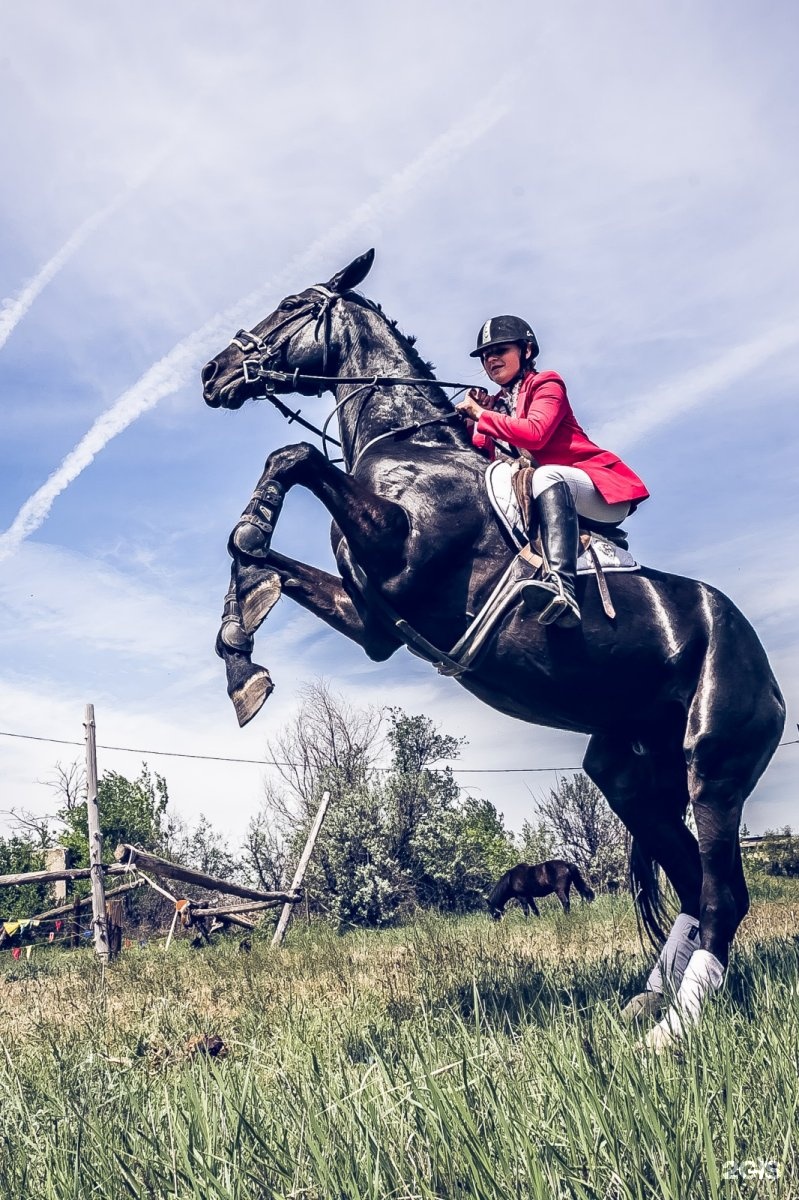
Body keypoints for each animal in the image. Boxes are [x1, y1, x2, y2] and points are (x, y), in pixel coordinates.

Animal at [200, 250, 782, 1051]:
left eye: (291, 305)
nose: (213, 373)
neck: (405, 445)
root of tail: (764, 667)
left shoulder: (401, 555)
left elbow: (292, 457)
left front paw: (252, 536)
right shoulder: (374, 624)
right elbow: (266, 560)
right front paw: (241, 658)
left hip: (714, 761)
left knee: (725, 894)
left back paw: (671, 1031)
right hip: (632, 775)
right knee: (692, 882)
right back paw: (648, 1000)